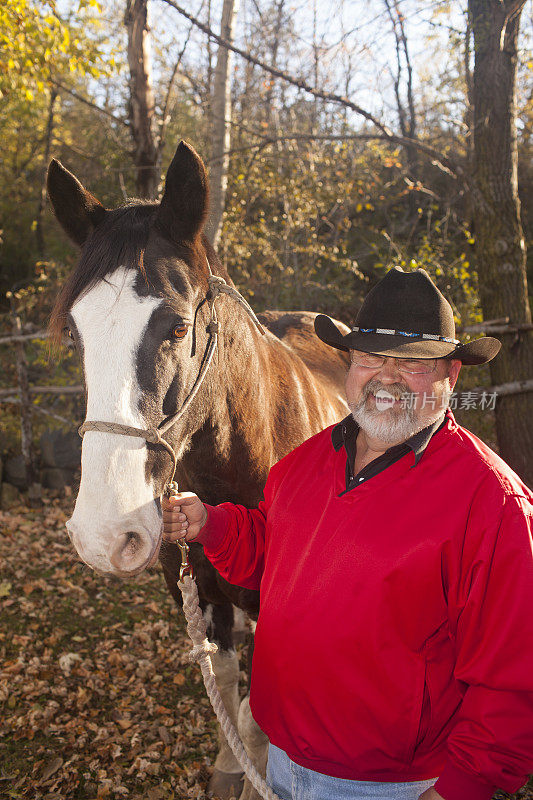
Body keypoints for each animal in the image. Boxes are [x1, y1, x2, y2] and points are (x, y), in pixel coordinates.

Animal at [46, 141, 350, 796]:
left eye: (179, 326)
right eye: (75, 336)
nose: (104, 536)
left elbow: (257, 710)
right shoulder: (200, 592)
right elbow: (228, 688)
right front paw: (230, 769)